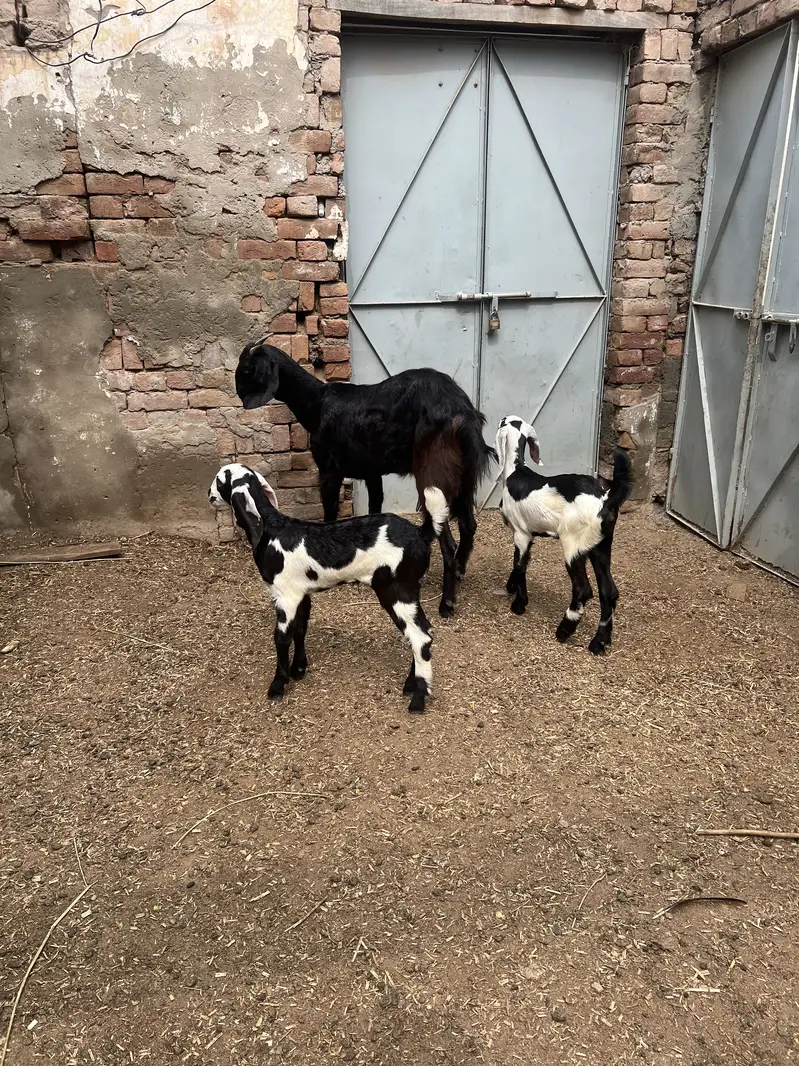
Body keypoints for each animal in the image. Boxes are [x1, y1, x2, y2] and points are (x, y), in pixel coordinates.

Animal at [209, 463, 448, 713]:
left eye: (219, 481)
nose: (209, 496)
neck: (271, 531)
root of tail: (422, 534)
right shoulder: (302, 594)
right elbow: (300, 629)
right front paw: (298, 669)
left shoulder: (285, 596)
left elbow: (281, 637)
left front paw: (278, 685)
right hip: (409, 590)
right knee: (421, 630)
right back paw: (411, 685)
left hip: (396, 590)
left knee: (420, 636)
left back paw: (418, 699)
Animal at [234, 342, 496, 618]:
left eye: (248, 368)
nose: (238, 393)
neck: (317, 403)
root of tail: (463, 411)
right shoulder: (372, 473)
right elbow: (374, 507)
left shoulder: (330, 469)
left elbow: (330, 511)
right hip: (464, 478)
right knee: (468, 525)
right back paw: (458, 573)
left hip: (432, 475)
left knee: (448, 542)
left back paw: (446, 604)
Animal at [495, 417, 632, 654]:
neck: (516, 471)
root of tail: (605, 498)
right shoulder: (530, 535)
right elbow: (522, 562)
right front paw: (511, 587)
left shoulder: (521, 533)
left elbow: (519, 564)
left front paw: (519, 604)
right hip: (600, 546)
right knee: (609, 591)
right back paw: (599, 642)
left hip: (573, 545)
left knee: (583, 589)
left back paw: (564, 630)